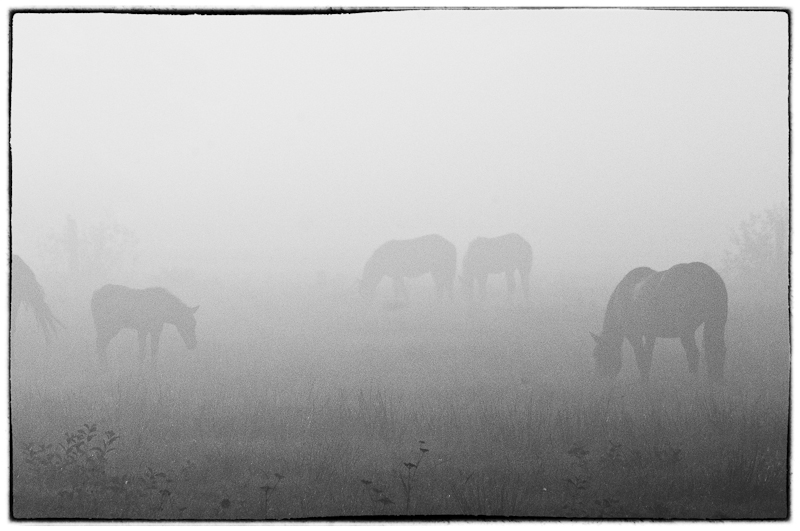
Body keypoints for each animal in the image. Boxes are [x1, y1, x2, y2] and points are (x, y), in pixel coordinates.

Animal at [592, 264, 728, 384]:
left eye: (597, 354)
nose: (601, 379)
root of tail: (708, 275)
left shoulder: (633, 334)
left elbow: (640, 356)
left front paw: (643, 381)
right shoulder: (650, 334)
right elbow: (647, 356)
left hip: (686, 330)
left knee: (693, 353)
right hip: (716, 323)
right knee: (718, 350)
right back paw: (717, 380)